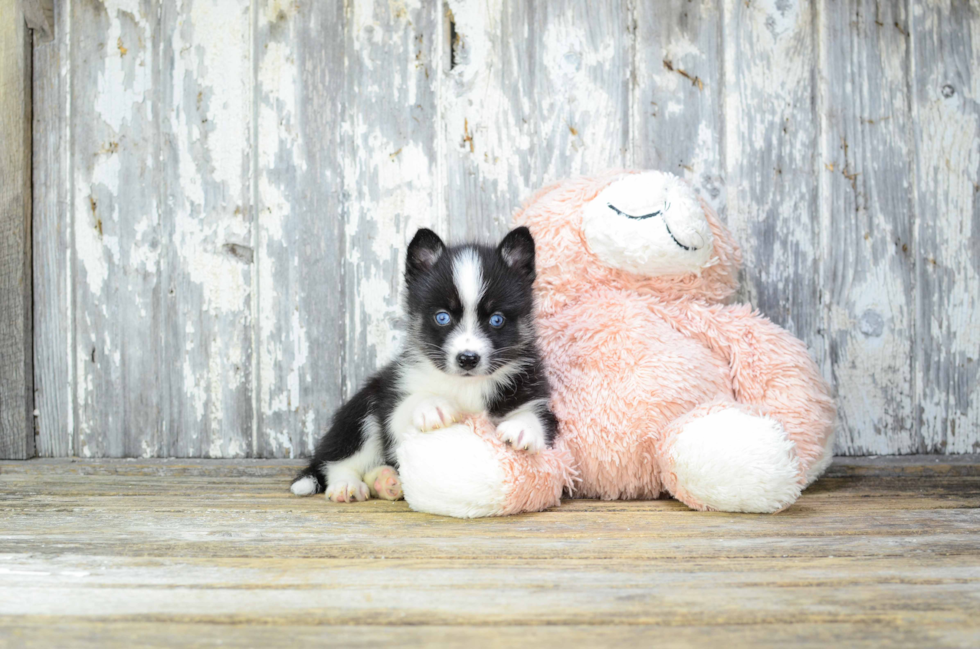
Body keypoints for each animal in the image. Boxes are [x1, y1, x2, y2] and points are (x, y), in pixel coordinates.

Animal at [288, 227, 556, 502]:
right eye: (442, 317)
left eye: (497, 319)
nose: (467, 358)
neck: (465, 385)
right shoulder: (395, 398)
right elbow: (406, 407)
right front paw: (433, 405)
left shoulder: (534, 391)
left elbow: (538, 416)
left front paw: (523, 427)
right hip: (361, 409)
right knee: (340, 458)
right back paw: (346, 485)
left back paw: (386, 481)